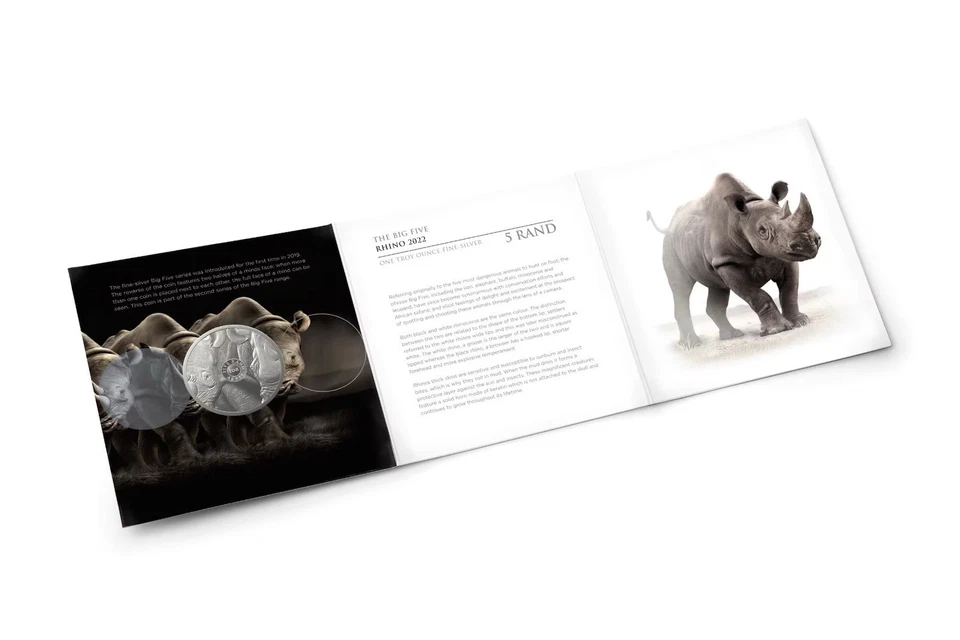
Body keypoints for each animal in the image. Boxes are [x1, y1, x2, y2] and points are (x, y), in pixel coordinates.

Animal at [646, 173, 821, 347]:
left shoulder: (783, 254)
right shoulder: (727, 262)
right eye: (762, 231)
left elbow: (790, 290)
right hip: (670, 247)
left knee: (717, 288)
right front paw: (778, 330)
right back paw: (692, 344)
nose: (809, 242)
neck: (741, 220)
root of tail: (670, 227)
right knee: (681, 289)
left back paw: (731, 335)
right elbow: (758, 295)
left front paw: (801, 322)